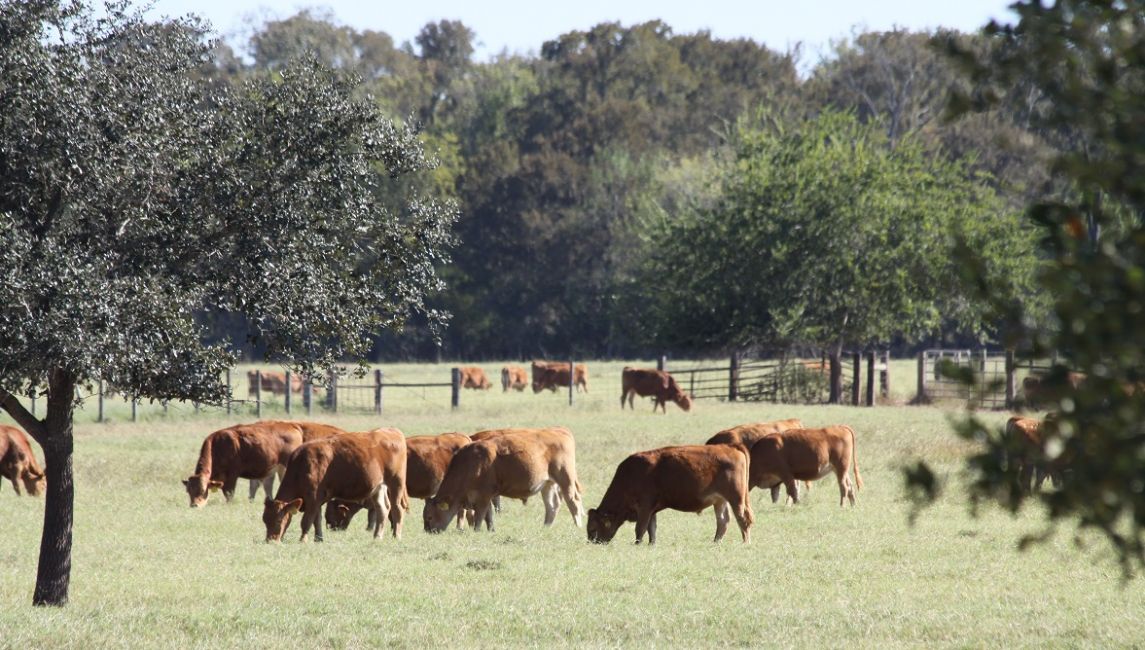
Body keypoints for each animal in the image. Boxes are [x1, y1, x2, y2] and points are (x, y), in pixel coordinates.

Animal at [183, 420, 344, 507]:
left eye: (203, 490)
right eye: (189, 491)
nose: (194, 505)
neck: (219, 444)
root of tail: (293, 426)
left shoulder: (232, 475)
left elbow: (229, 493)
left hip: (284, 467)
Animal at [263, 428, 408, 543]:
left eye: (278, 520)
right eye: (264, 520)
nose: (270, 540)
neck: (302, 466)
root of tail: (392, 431)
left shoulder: (313, 498)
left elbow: (307, 520)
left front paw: (303, 539)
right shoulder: (317, 500)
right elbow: (317, 520)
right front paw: (318, 538)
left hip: (396, 482)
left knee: (397, 509)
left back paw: (396, 535)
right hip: (378, 487)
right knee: (382, 509)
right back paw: (377, 536)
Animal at [424, 427, 584, 533]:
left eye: (430, 517)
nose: (428, 531)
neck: (470, 463)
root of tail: (560, 431)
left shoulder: (483, 496)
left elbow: (480, 515)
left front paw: (477, 530)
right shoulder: (487, 497)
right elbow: (488, 515)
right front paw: (491, 530)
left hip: (566, 480)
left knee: (573, 502)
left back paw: (578, 526)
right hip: (548, 484)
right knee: (552, 506)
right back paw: (545, 527)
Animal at [586, 445, 753, 545]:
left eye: (593, 529)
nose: (591, 542)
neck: (631, 475)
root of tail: (730, 447)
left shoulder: (644, 508)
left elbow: (640, 528)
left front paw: (637, 544)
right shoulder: (652, 510)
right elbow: (651, 529)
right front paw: (651, 544)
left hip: (736, 498)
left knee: (742, 519)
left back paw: (745, 542)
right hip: (720, 501)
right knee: (723, 521)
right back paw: (715, 542)